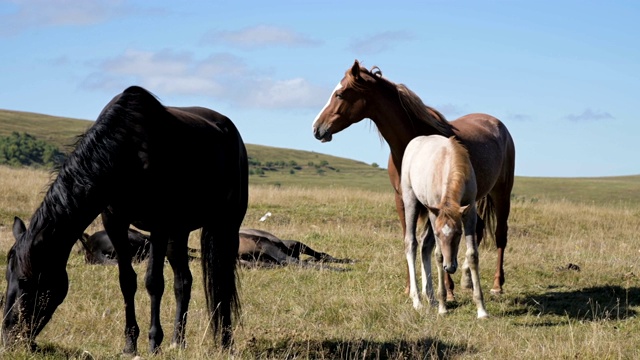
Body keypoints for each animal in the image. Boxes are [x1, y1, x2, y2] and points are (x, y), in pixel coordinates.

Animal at [1, 86, 248, 354]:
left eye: (26, 281)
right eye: (7, 277)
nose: (9, 338)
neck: (126, 151)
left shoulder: (158, 225)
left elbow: (154, 282)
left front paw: (154, 342)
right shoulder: (115, 222)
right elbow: (127, 281)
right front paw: (130, 344)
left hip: (226, 225)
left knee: (222, 285)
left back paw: (225, 342)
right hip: (178, 231)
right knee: (183, 282)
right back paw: (178, 341)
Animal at [402, 136, 488, 318]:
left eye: (459, 233)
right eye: (439, 234)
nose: (450, 267)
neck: (448, 163)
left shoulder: (469, 212)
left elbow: (472, 255)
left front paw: (482, 310)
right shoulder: (435, 215)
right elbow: (439, 255)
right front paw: (443, 308)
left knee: (425, 246)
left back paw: (431, 298)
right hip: (411, 200)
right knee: (411, 243)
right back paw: (418, 300)